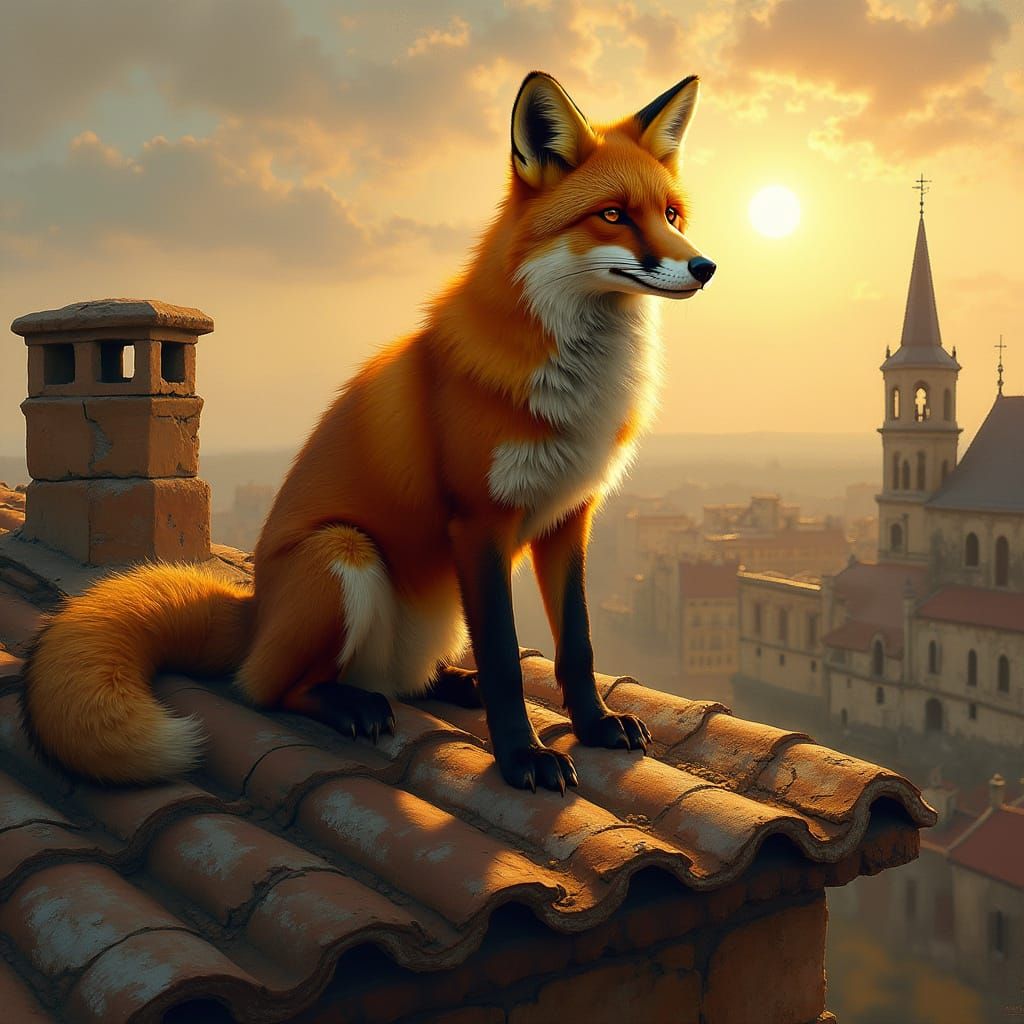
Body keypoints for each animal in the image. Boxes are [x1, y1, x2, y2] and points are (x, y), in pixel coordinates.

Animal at [22, 71, 715, 793]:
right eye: (612, 215)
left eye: (671, 216)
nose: (705, 267)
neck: (575, 384)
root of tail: (255, 612)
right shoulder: (480, 520)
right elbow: (503, 658)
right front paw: (521, 756)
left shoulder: (568, 517)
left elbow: (576, 646)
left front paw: (595, 725)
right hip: (342, 553)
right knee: (270, 688)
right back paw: (351, 705)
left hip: (432, 612)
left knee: (399, 680)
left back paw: (446, 683)